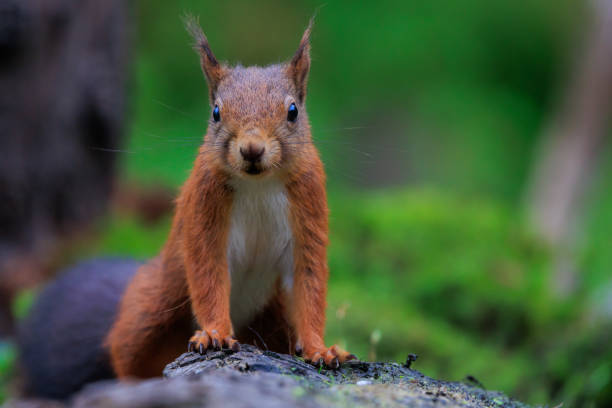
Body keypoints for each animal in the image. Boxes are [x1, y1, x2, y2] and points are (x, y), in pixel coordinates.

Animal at [103, 16, 356, 376]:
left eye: (293, 111)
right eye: (216, 113)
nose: (251, 148)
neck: (259, 184)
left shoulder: (309, 205)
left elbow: (309, 284)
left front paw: (320, 349)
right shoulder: (204, 205)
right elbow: (208, 273)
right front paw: (214, 334)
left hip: (273, 314)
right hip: (153, 307)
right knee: (130, 356)